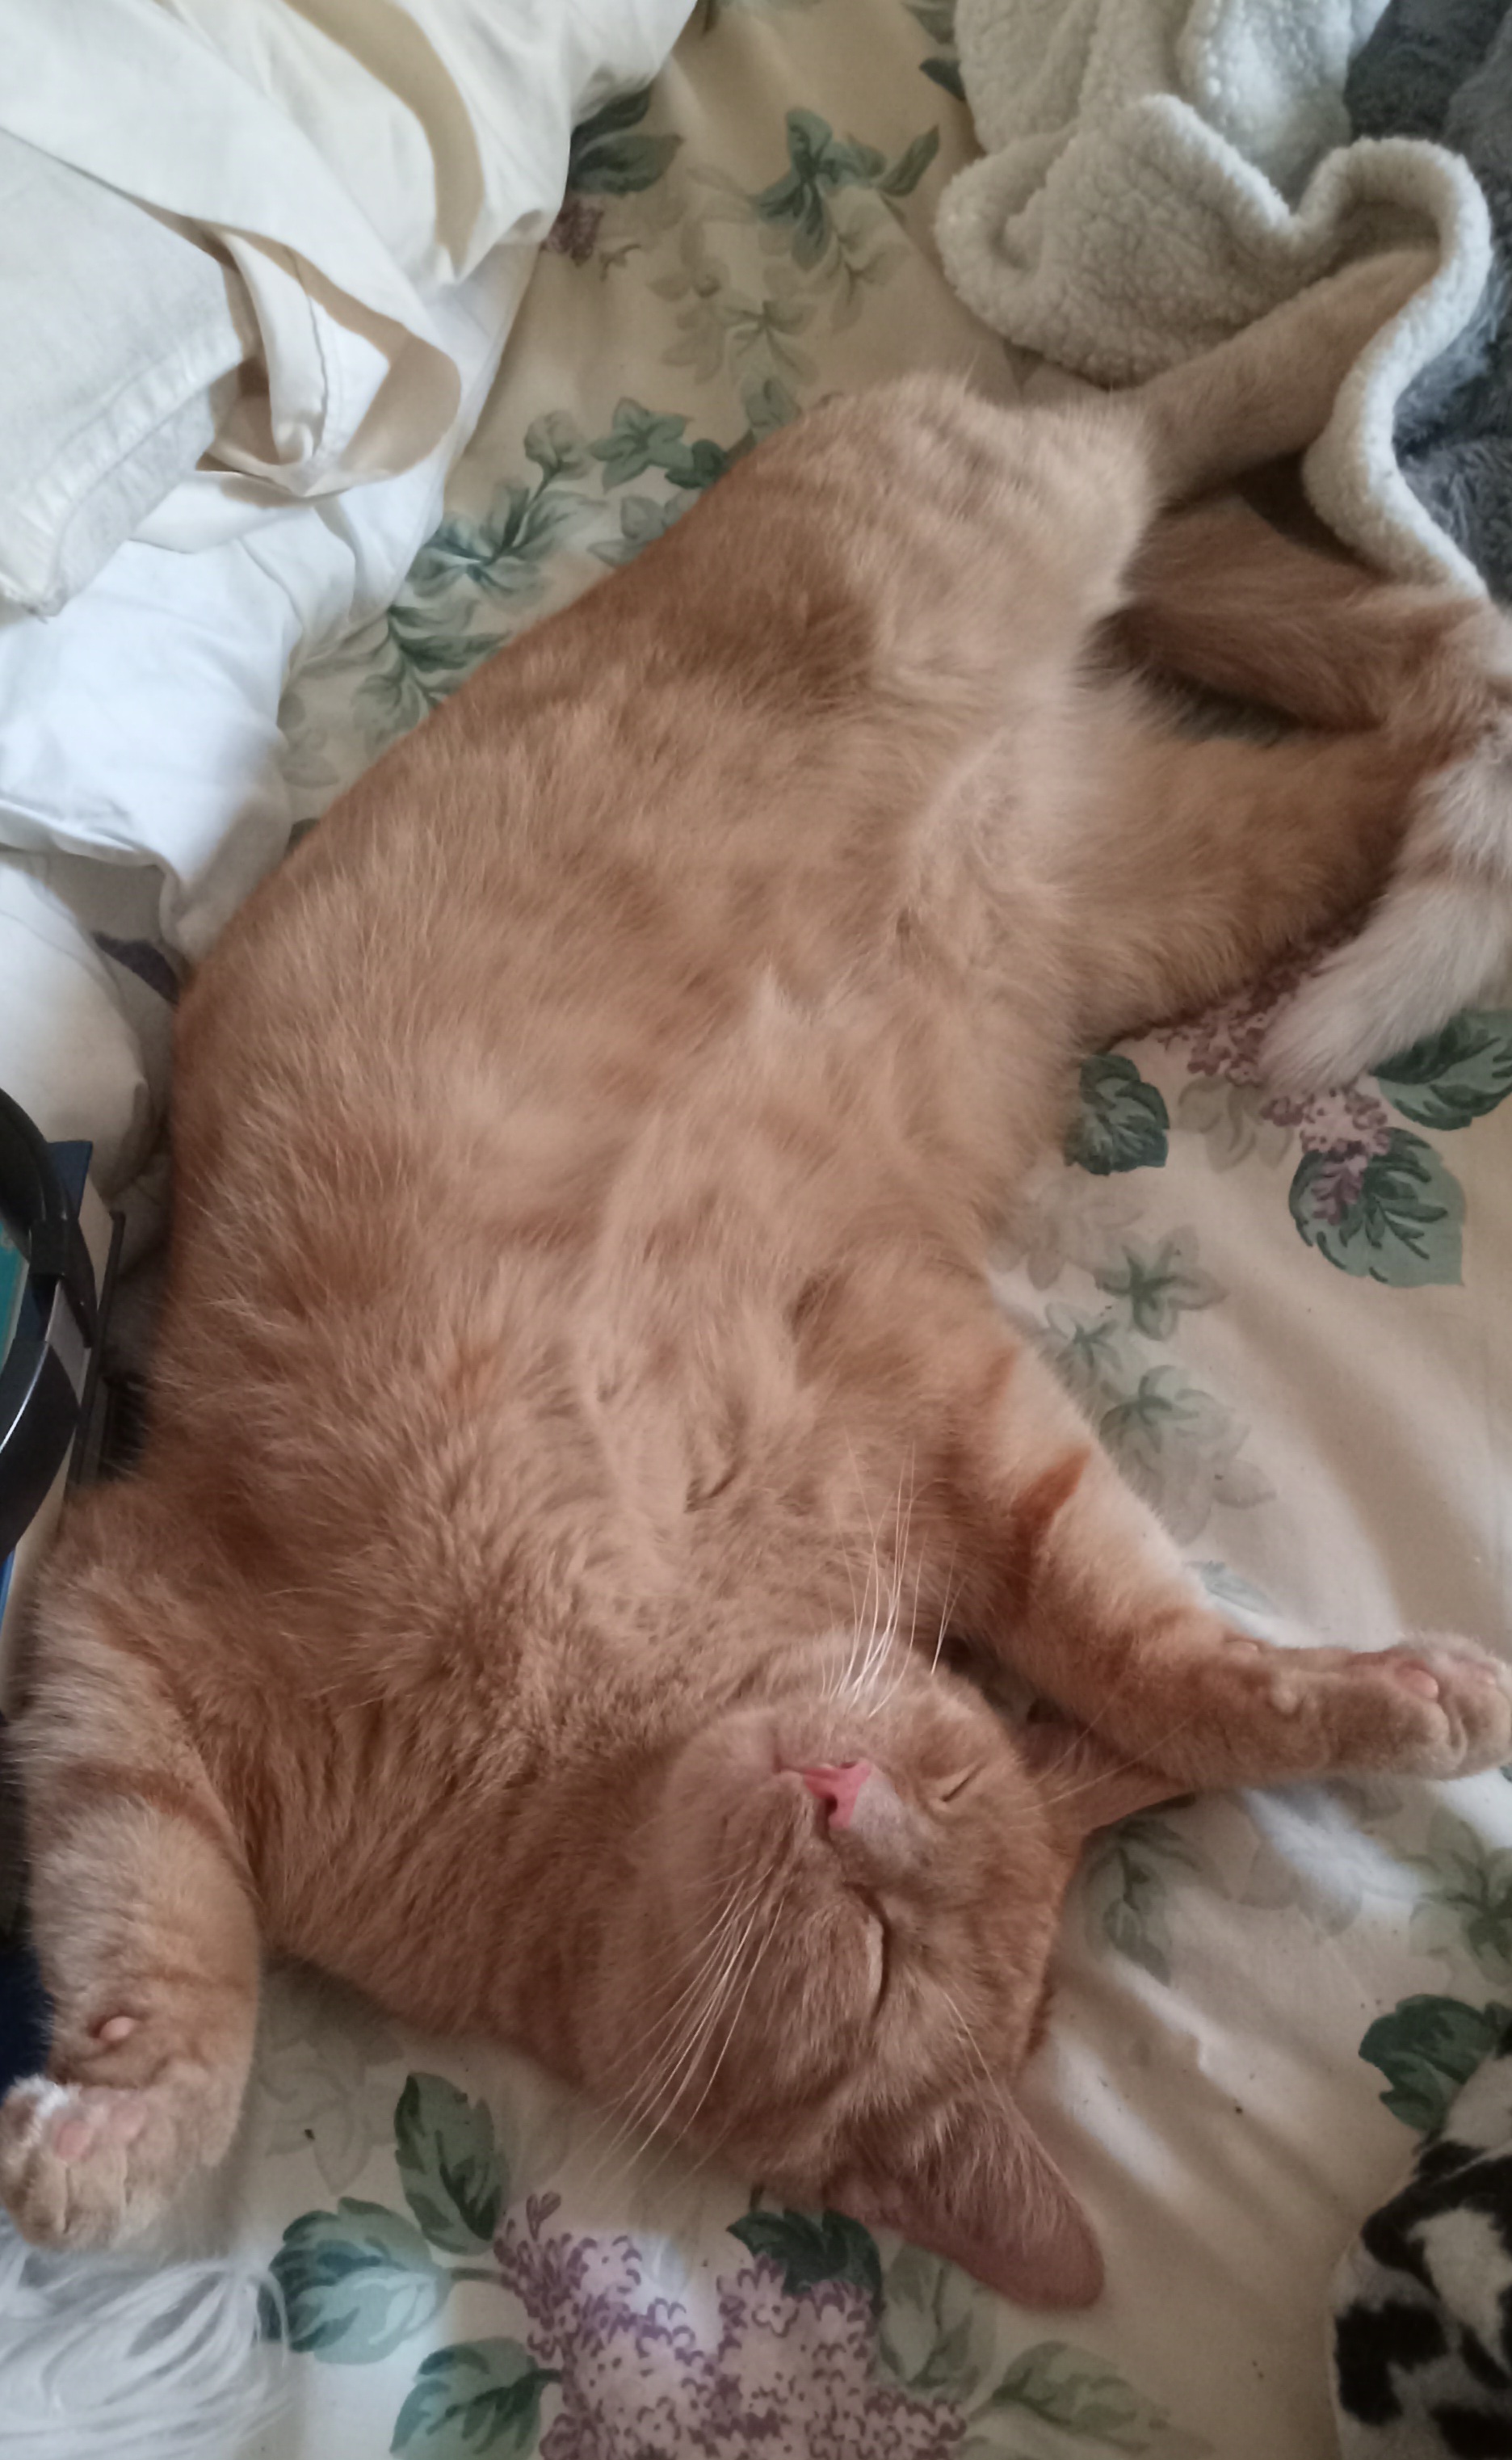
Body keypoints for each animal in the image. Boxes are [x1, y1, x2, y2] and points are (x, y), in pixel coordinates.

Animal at [3, 251, 1510, 2311]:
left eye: (896, 1929)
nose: (845, 1805)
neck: (586, 1721)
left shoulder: (935, 1387)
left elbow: (1149, 1651)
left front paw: (1361, 1702)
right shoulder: (123, 1639)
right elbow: (171, 1961)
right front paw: (121, 2139)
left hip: (1204, 871)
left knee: (1343, 660)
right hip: (995, 557)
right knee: (1152, 434)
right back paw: (1375, 287)